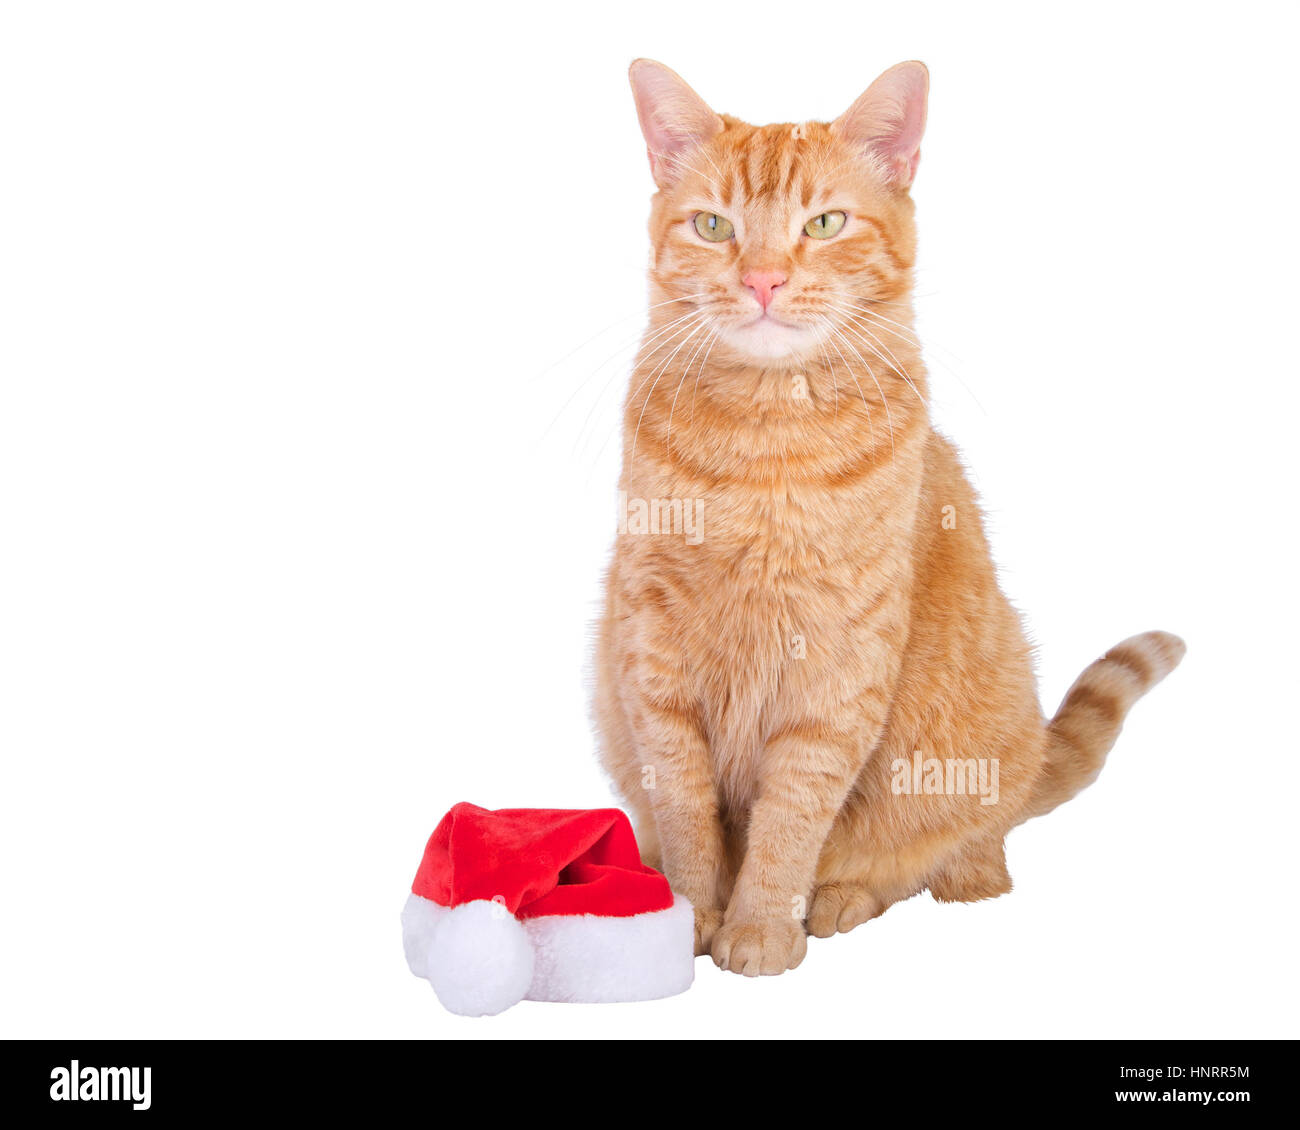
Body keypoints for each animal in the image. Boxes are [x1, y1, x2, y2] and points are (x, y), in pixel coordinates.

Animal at [595, 61, 1185, 972]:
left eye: (825, 223)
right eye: (714, 226)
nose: (762, 280)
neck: (766, 447)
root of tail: (1034, 755)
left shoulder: (838, 667)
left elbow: (792, 816)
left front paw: (759, 927)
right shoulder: (652, 652)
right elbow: (686, 807)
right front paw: (686, 916)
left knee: (953, 863)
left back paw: (840, 898)